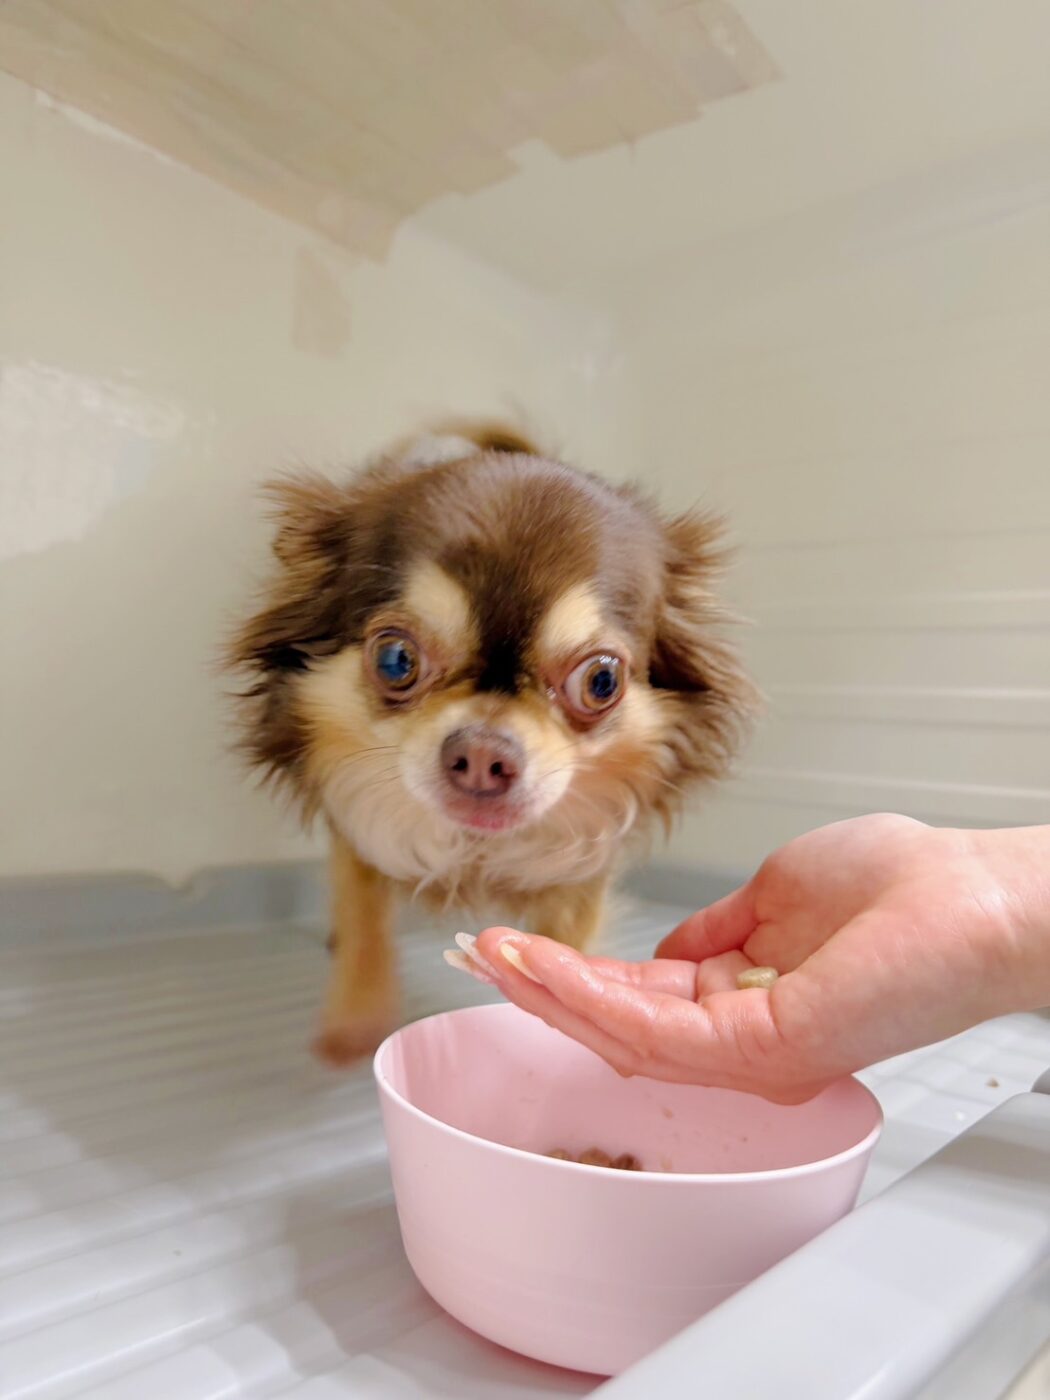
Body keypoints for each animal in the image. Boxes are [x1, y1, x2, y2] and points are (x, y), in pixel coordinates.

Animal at [229, 422, 753, 1064]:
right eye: (395, 659)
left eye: (601, 682)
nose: (483, 754)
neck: (475, 853)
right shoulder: (357, 827)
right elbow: (364, 916)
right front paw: (358, 1015)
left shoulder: (582, 868)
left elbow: (561, 943)